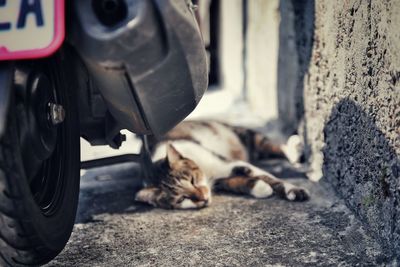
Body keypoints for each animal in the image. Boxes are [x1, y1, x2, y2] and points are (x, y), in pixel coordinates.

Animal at [135, 120, 310, 210]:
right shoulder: (220, 180)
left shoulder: (229, 163)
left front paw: (293, 190)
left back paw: (294, 150)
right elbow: (238, 182)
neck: (207, 173)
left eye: (192, 180)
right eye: (182, 199)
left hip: (248, 137)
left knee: (276, 147)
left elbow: (270, 177)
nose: (203, 199)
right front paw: (260, 188)